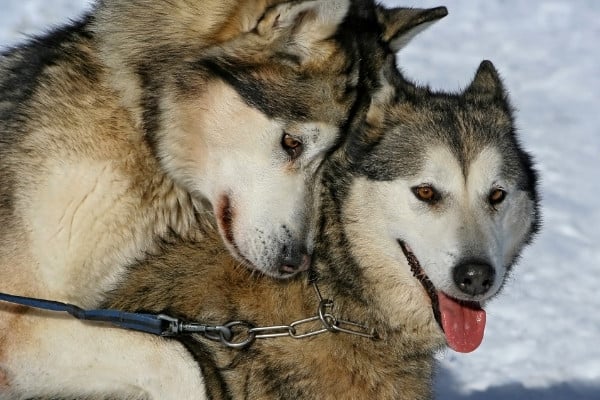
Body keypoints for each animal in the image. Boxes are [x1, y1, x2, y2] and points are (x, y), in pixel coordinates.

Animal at [0, 1, 450, 398]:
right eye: (292, 143)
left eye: (331, 159)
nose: (295, 261)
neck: (139, 129)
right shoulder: (22, 325)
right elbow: (181, 362)